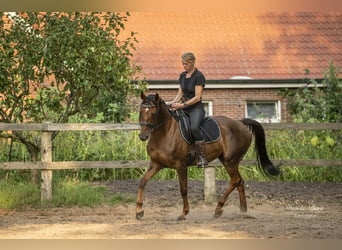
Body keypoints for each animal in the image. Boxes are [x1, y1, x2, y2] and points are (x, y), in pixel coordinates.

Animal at [135, 92, 280, 221]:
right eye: (141, 111)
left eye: (154, 113)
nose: (143, 136)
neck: (165, 134)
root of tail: (241, 123)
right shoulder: (156, 164)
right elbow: (142, 182)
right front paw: (139, 211)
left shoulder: (181, 165)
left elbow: (183, 189)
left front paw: (184, 213)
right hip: (228, 160)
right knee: (240, 181)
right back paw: (242, 211)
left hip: (230, 161)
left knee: (235, 181)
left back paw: (218, 209)